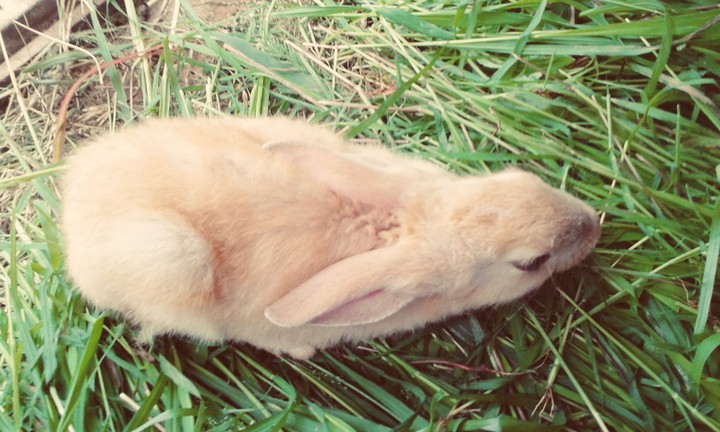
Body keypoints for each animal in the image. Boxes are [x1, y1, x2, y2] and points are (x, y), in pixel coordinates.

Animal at [61, 116, 601, 359]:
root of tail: (73, 211)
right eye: (532, 262)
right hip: (172, 258)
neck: (404, 225)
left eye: (522, 179)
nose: (595, 223)